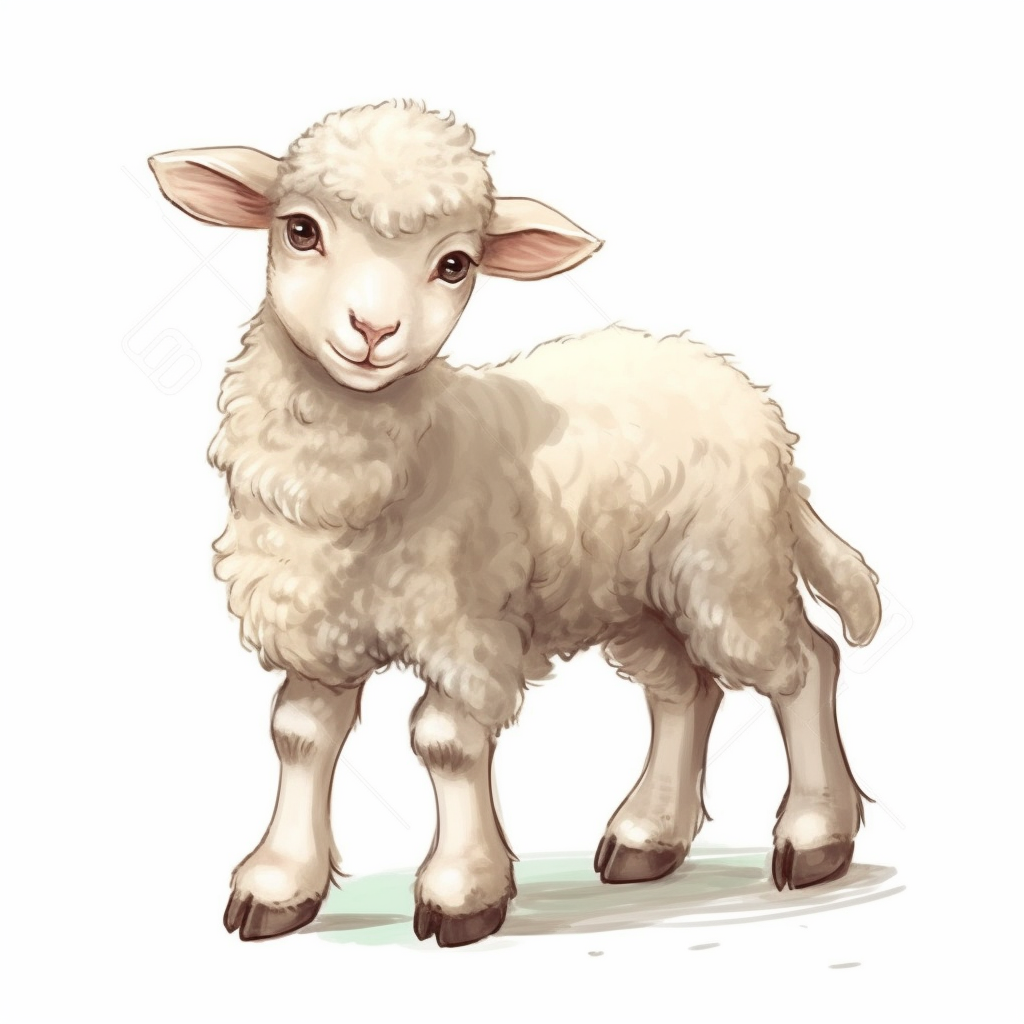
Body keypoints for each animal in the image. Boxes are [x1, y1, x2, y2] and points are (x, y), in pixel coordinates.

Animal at [148, 98, 882, 948]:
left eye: (454, 265)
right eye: (300, 229)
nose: (373, 331)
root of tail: (753, 403)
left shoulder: (467, 628)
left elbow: (445, 743)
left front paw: (462, 893)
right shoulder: (318, 629)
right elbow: (298, 734)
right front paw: (278, 885)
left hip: (728, 568)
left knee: (804, 664)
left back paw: (815, 835)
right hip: (634, 593)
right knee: (683, 691)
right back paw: (648, 836)